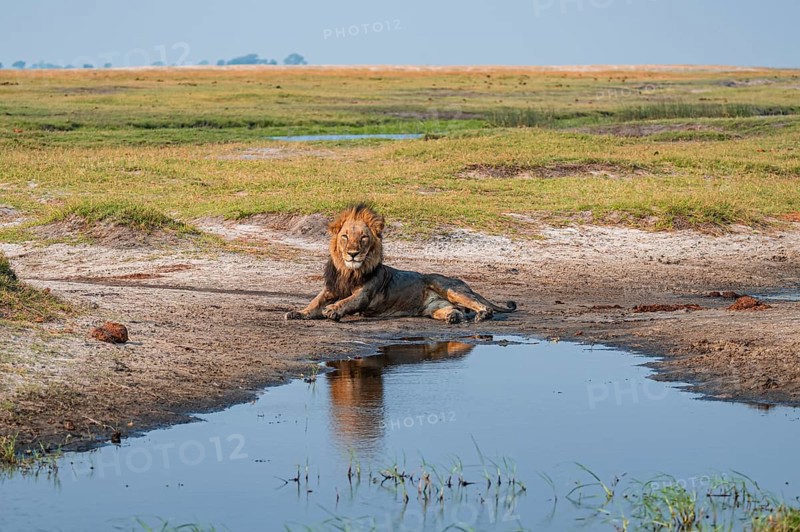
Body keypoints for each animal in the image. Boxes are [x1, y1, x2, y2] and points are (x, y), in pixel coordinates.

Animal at [285, 204, 516, 324]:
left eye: (363, 238)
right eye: (345, 237)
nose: (352, 254)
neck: (348, 271)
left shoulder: (364, 294)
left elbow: (347, 301)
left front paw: (333, 310)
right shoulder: (330, 289)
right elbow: (314, 302)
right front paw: (298, 312)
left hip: (448, 287)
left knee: (482, 304)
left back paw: (483, 314)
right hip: (435, 308)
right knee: (453, 311)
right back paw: (453, 317)